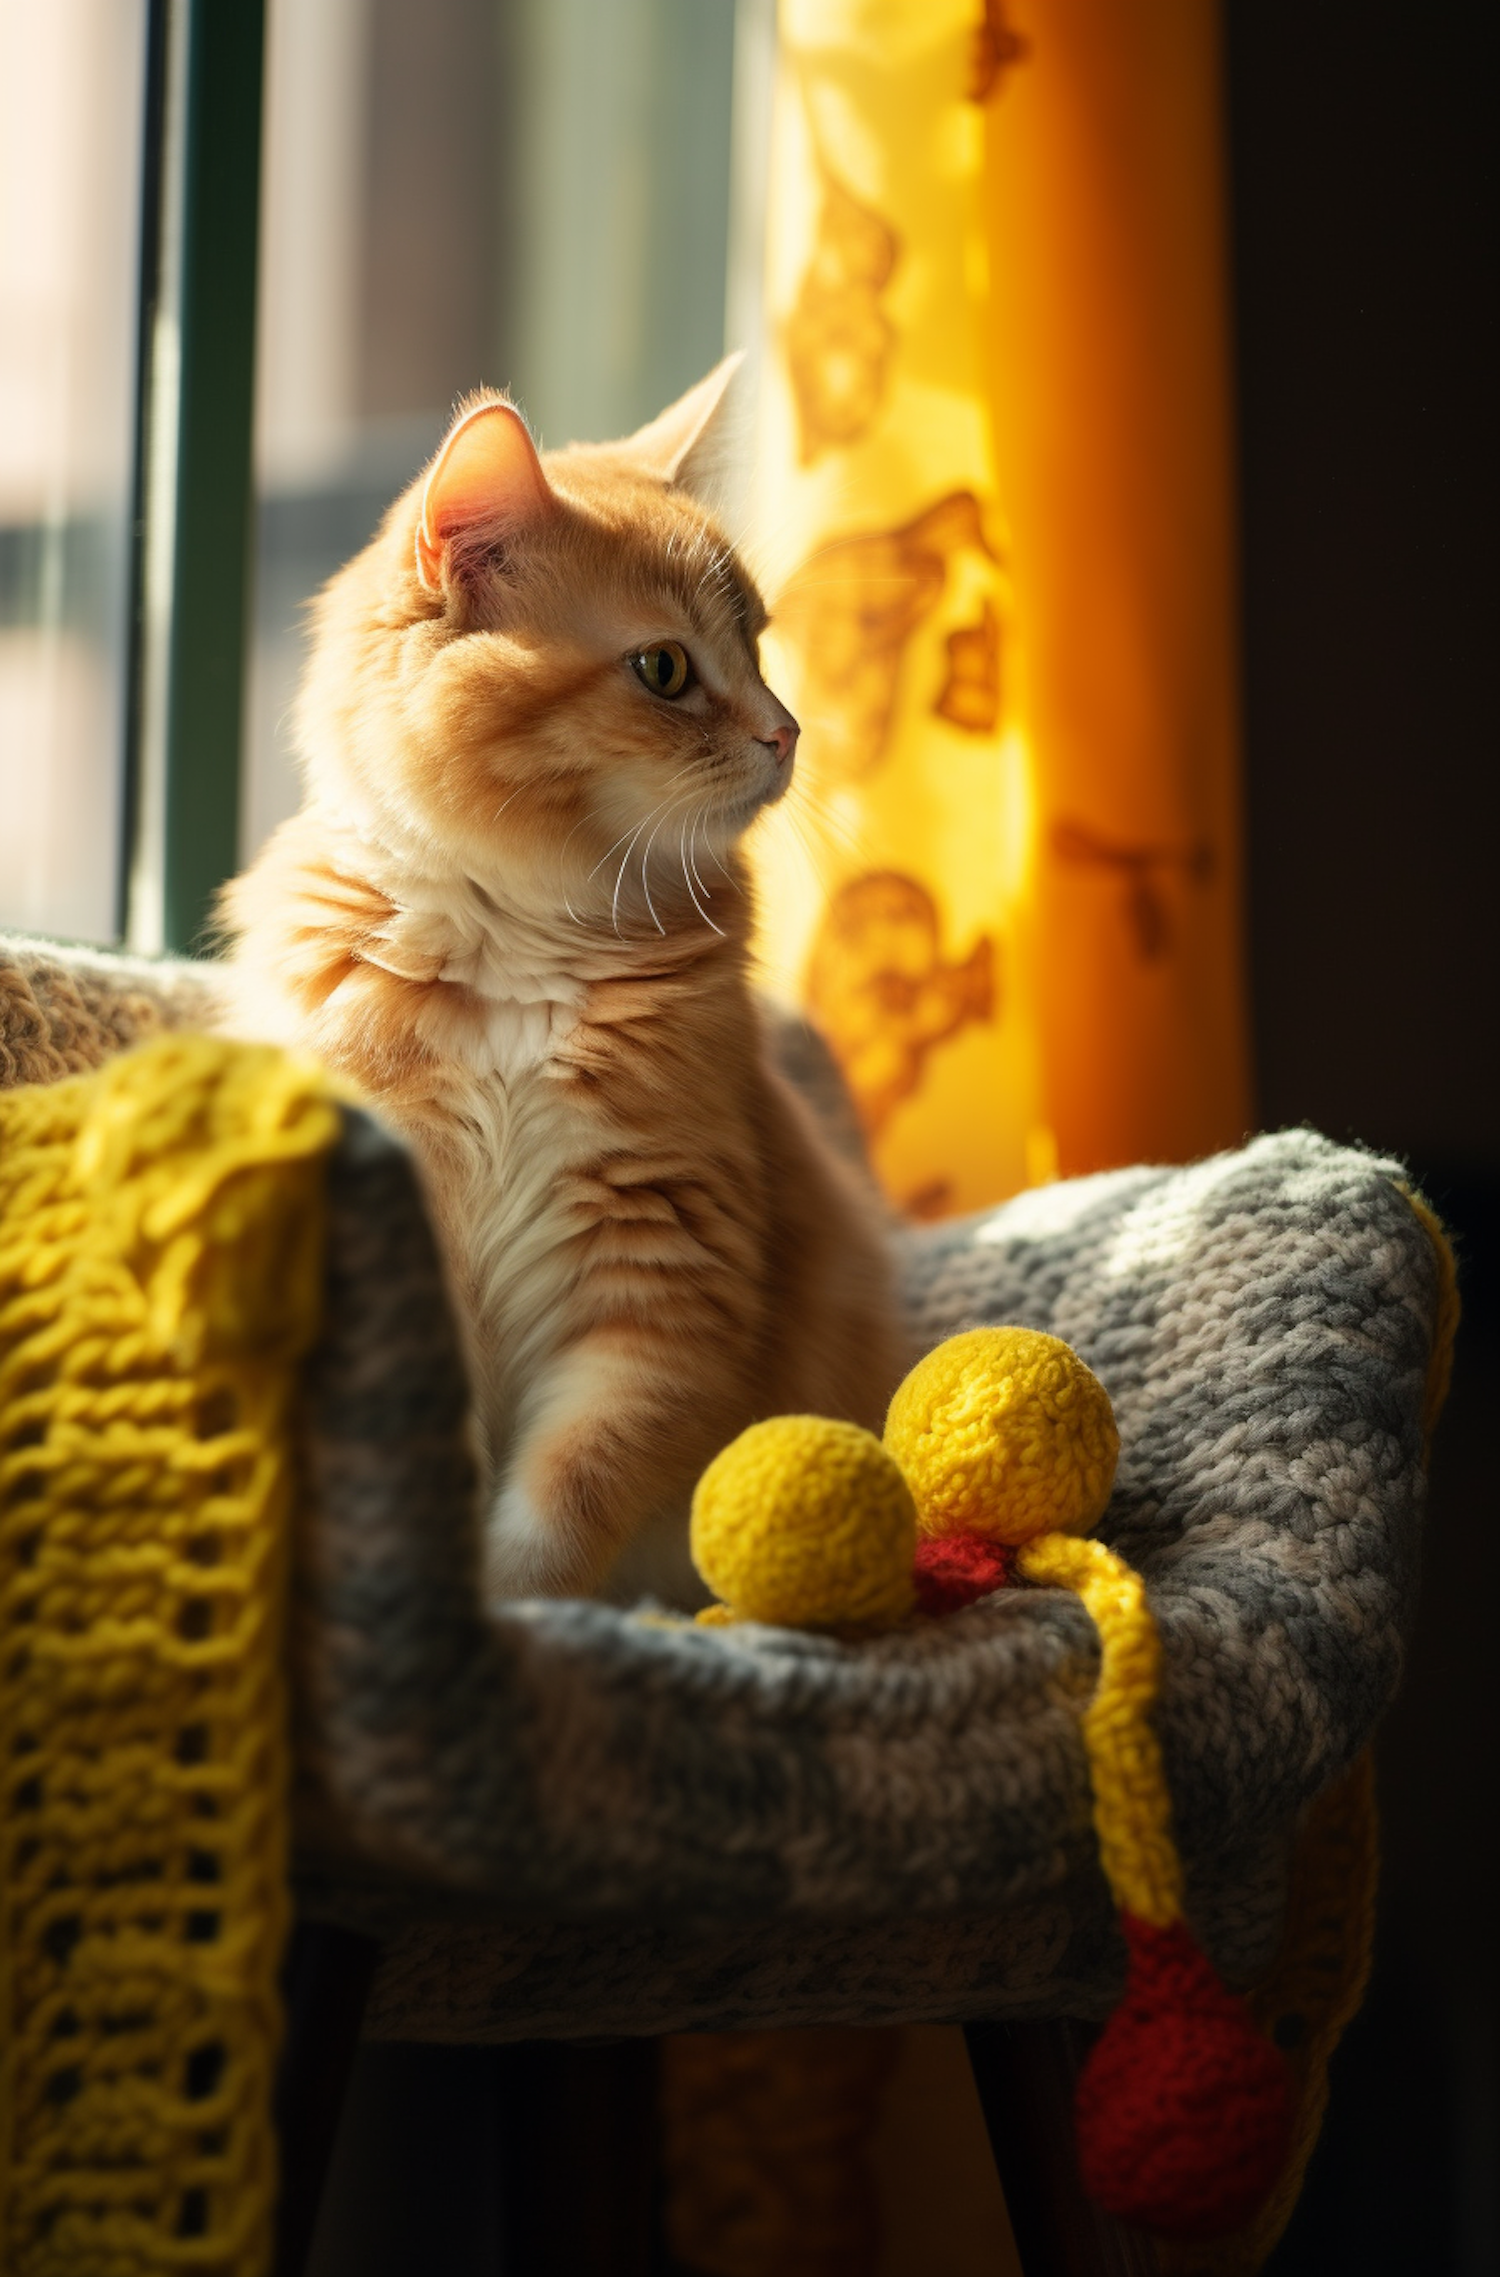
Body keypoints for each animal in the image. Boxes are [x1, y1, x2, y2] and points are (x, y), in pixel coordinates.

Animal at [219, 359, 905, 1603]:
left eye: (761, 649)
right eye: (665, 670)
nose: (787, 734)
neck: (514, 953)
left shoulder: (656, 1284)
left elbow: (571, 1489)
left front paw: (520, 1612)